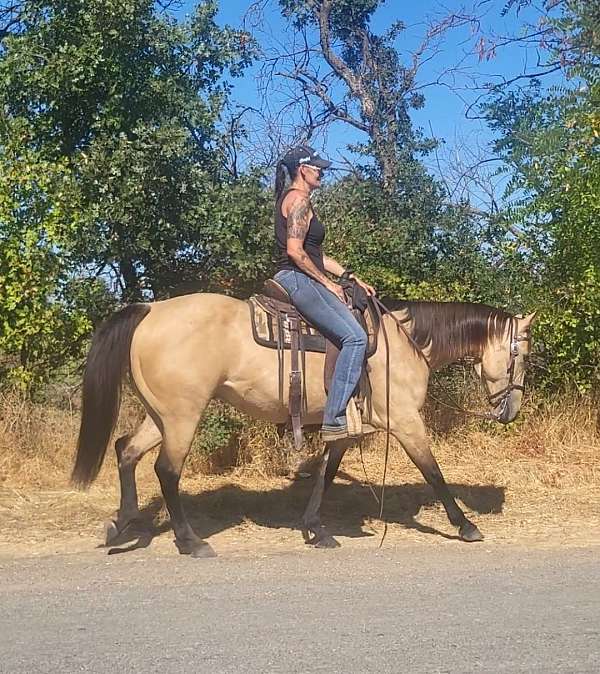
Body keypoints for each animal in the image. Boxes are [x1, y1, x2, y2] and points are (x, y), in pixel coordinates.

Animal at [69, 292, 536, 552]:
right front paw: (466, 526)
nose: (510, 411)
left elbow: (325, 477)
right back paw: (190, 541)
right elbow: (434, 473)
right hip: (183, 415)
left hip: (161, 414)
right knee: (166, 470)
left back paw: (122, 522)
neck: (406, 344)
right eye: (522, 355)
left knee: (126, 451)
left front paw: (316, 529)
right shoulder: (405, 421)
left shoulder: (345, 428)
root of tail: (149, 310)